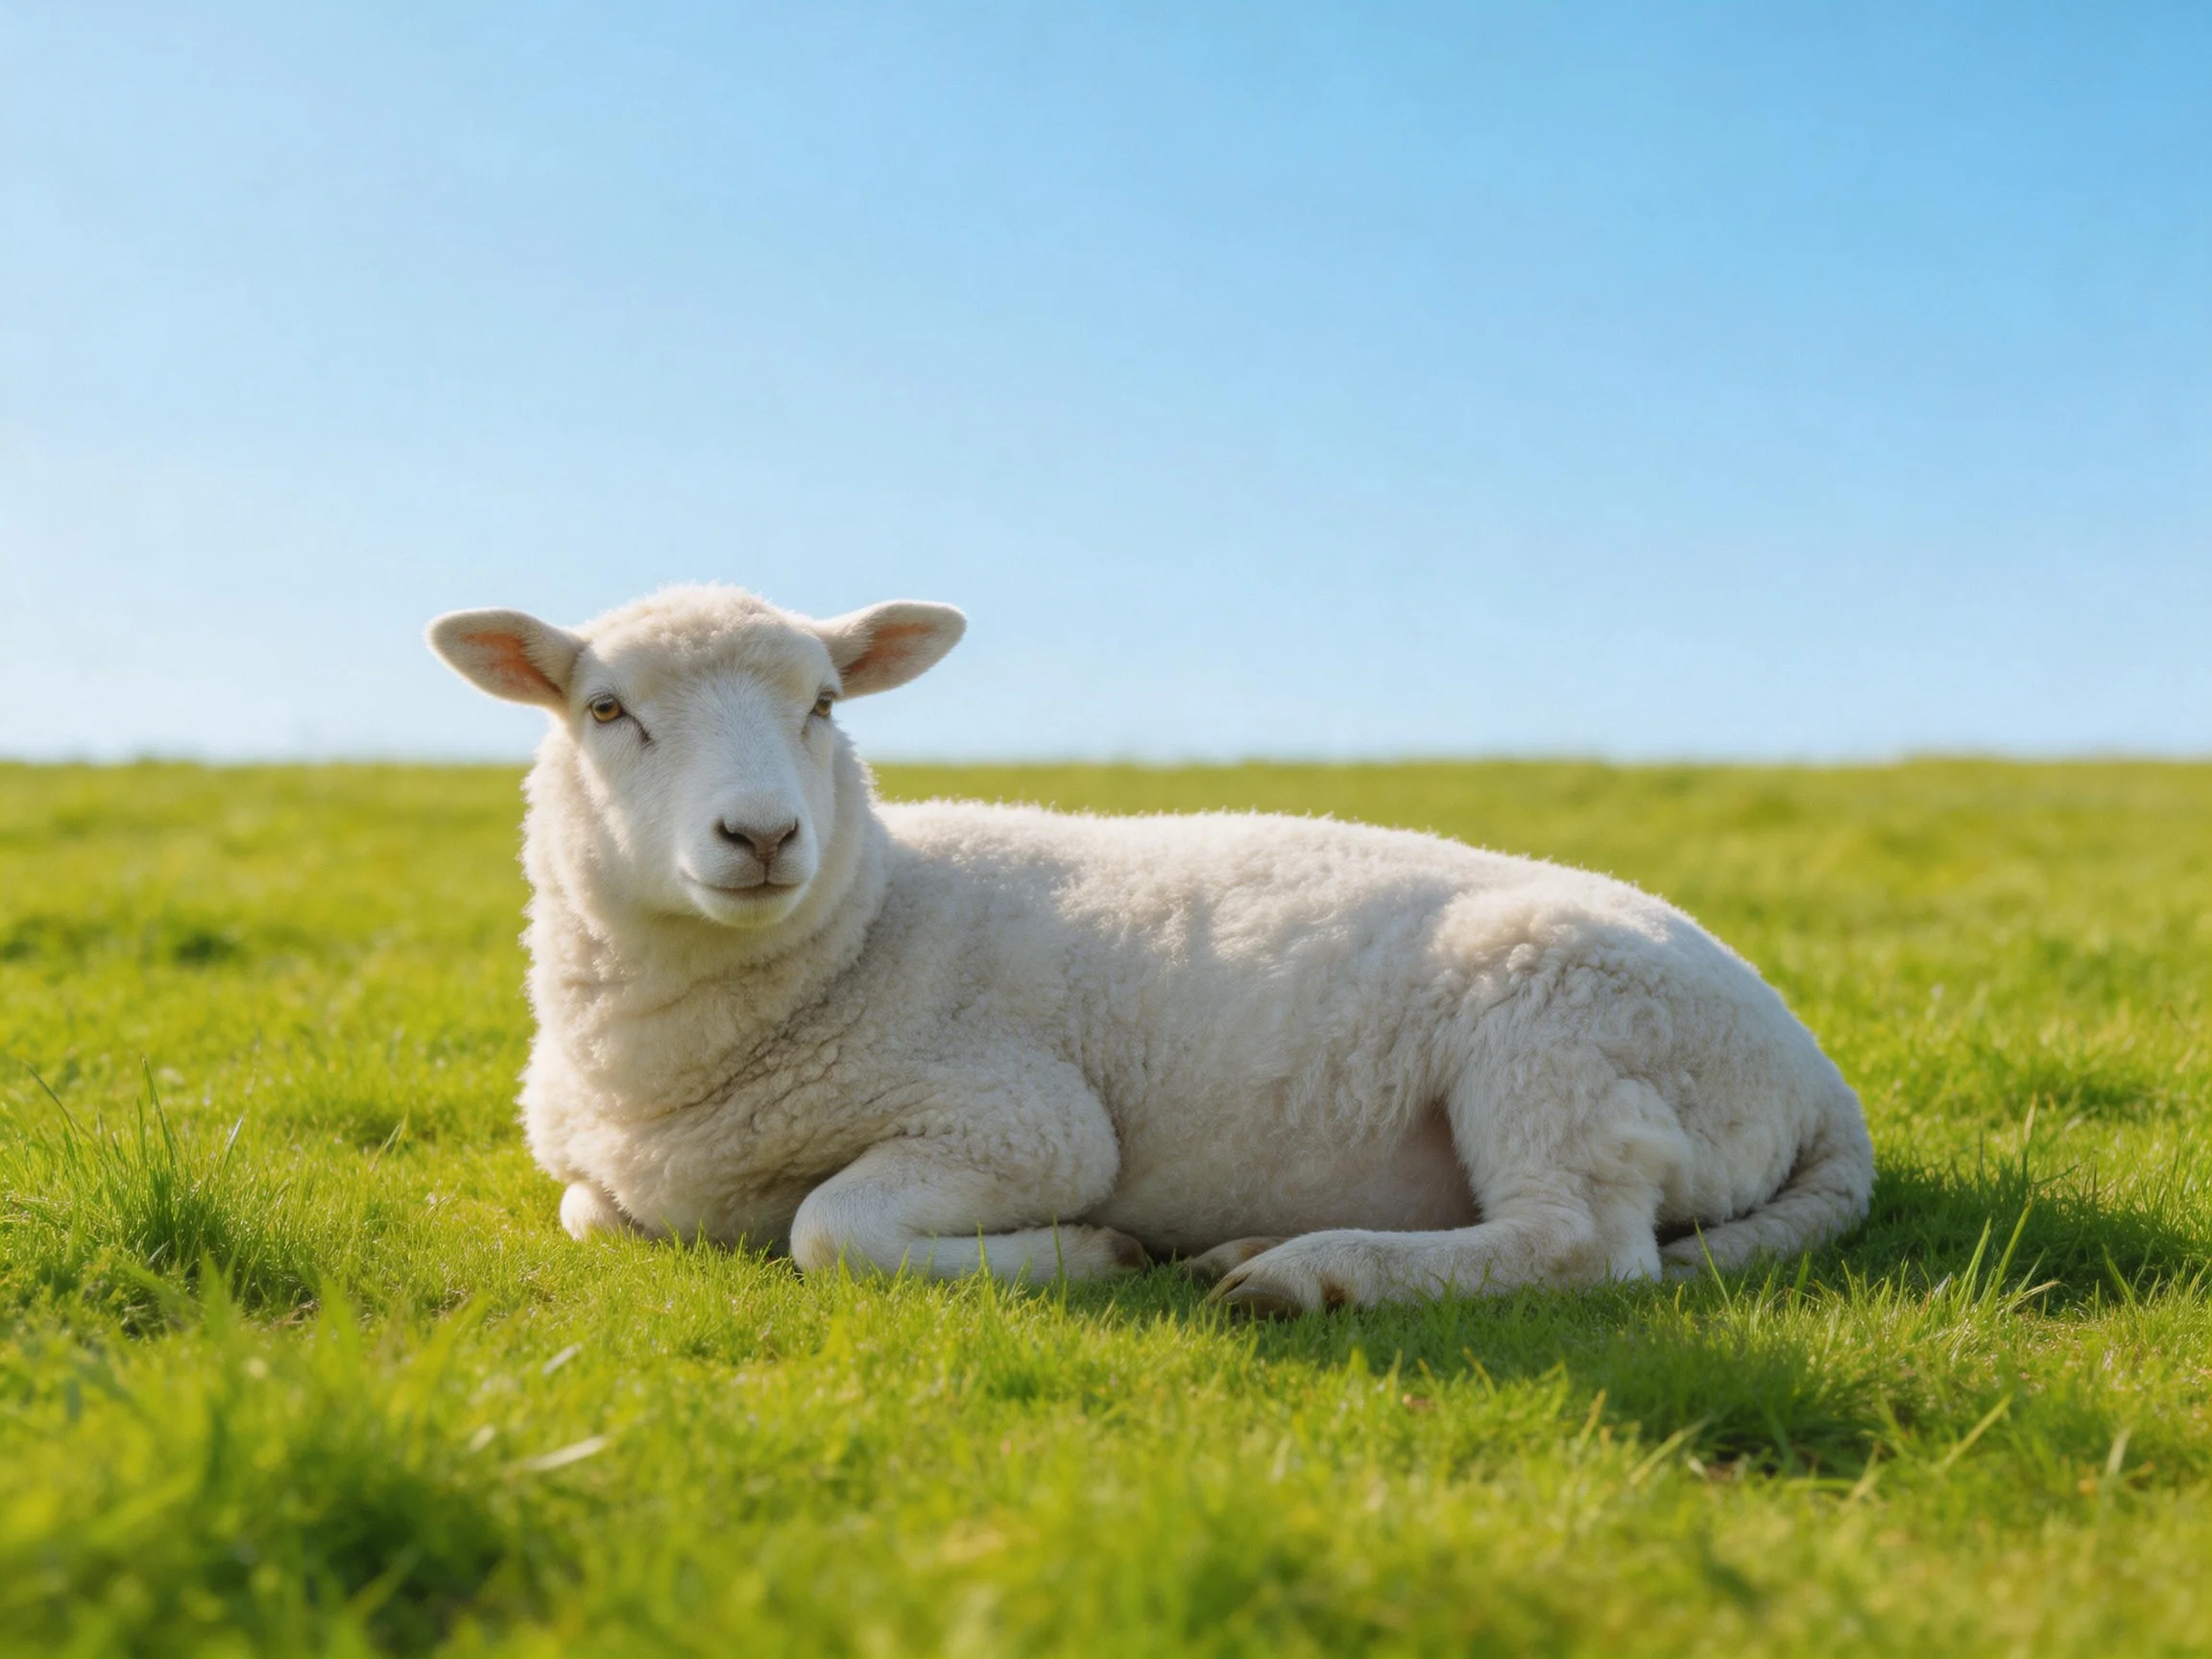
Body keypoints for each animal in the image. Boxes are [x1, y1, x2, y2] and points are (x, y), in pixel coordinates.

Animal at [426, 584, 1874, 1314]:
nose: (763, 833)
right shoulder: (601, 1178)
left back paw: (1304, 1275)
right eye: (605, 710)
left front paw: (1092, 1255)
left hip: (1564, 1033)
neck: (868, 928)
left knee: (1580, 1244)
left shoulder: (1021, 1121)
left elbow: (826, 1230)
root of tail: (1819, 1080)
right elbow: (587, 1215)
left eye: (826, 704)